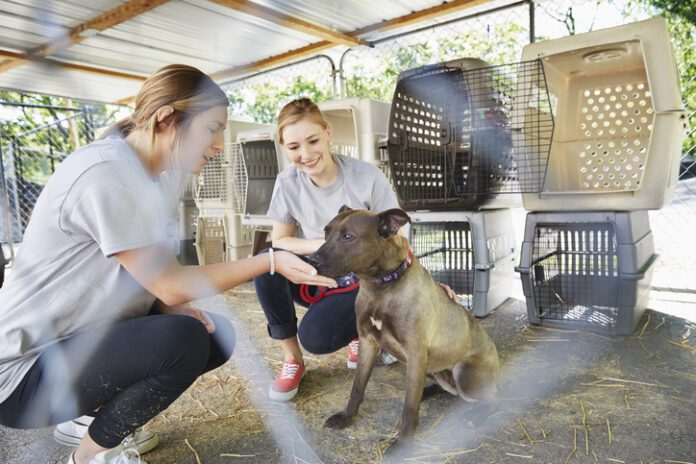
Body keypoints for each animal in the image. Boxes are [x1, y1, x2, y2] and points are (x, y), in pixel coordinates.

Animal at [308, 207, 500, 450]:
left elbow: (409, 407)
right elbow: (357, 386)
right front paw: (347, 416)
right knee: (449, 390)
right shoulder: (368, 343)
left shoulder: (416, 354)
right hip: (435, 369)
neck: (382, 286)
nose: (310, 260)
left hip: (463, 371)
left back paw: (475, 415)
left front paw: (403, 444)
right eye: (326, 232)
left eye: (348, 236)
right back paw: (427, 392)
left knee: (494, 399)